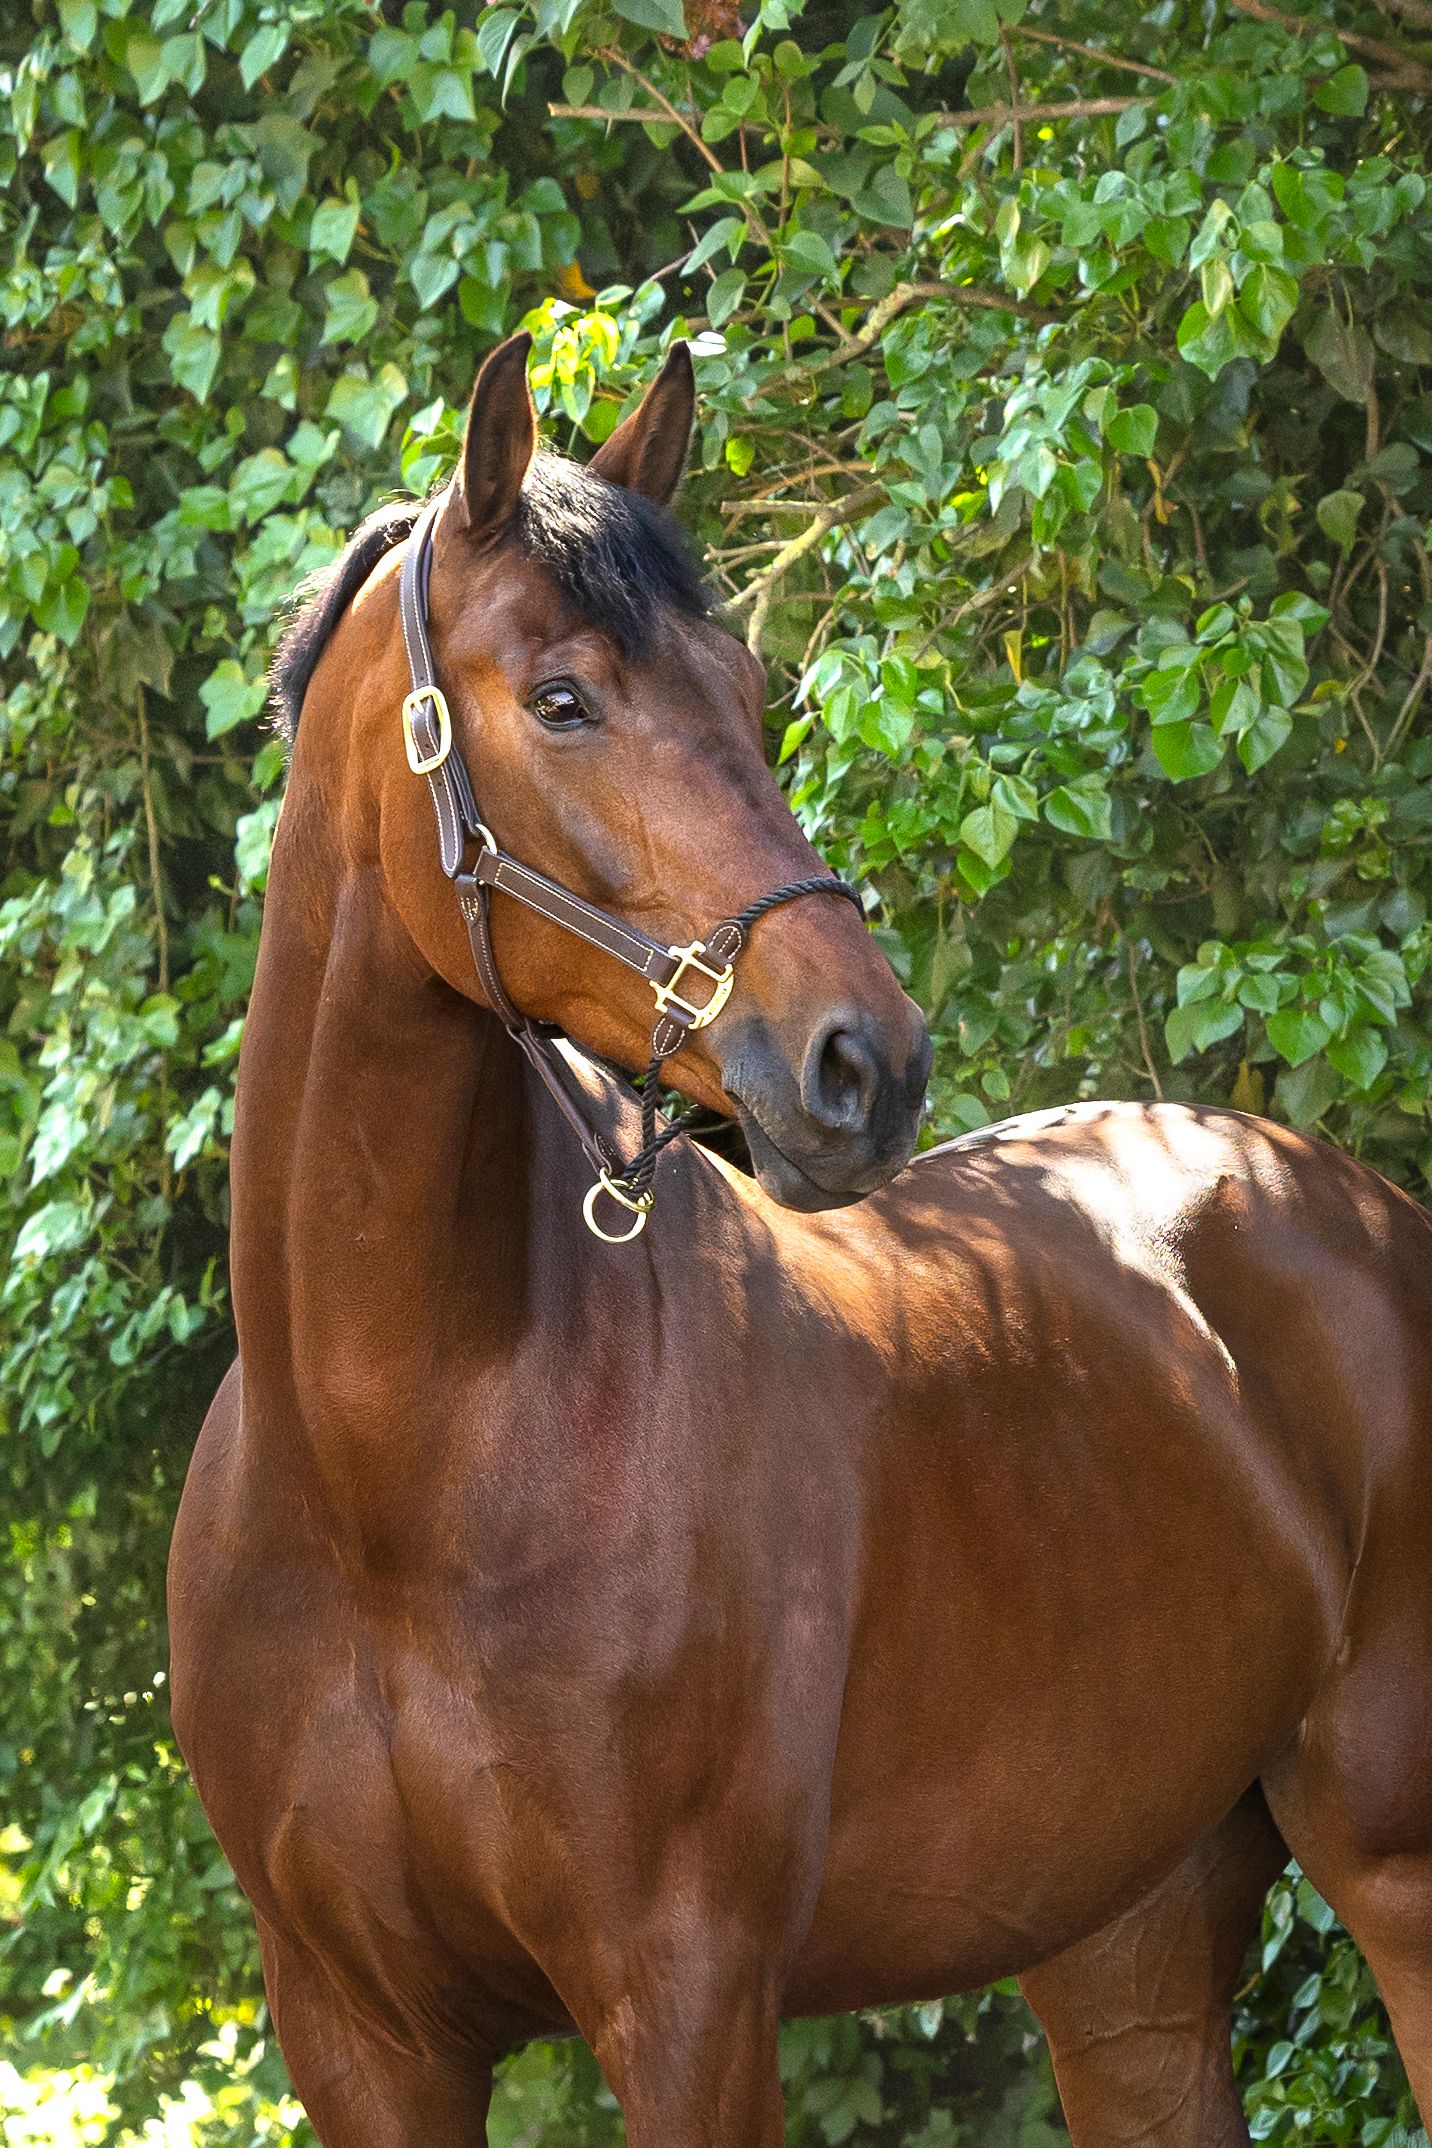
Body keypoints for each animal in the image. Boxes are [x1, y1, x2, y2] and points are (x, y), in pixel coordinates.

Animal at [169, 332, 1432, 2147]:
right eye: (562, 698)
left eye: (747, 690)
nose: (865, 1060)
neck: (384, 1469)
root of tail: (1339, 1201)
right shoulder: (360, 2038)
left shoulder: (690, 2000)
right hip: (1126, 1943)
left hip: (1392, 1858)